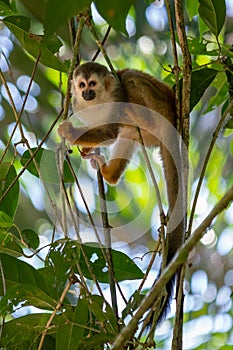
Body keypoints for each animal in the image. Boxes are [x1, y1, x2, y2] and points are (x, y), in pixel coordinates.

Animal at [57, 61, 185, 324]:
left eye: (92, 84)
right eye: (81, 85)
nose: (86, 93)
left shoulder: (115, 98)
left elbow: (110, 130)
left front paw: (71, 133)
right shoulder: (79, 106)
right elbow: (109, 134)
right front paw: (86, 148)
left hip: (162, 108)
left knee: (130, 79)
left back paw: (138, 113)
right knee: (127, 133)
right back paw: (109, 175)